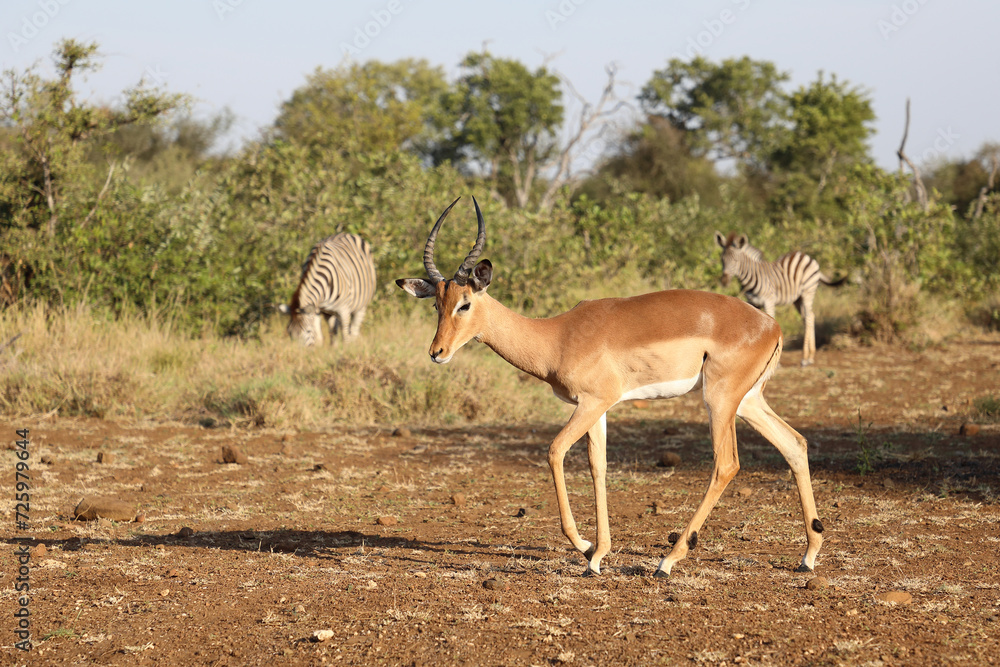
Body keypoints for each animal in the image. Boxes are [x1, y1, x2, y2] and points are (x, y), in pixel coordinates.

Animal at [396, 197, 824, 577]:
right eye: (436, 304)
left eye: (465, 303)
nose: (437, 352)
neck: (557, 337)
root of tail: (772, 326)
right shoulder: (596, 408)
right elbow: (597, 466)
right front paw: (597, 556)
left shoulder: (592, 402)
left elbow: (555, 451)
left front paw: (585, 546)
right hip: (748, 401)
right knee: (794, 443)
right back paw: (808, 555)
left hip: (719, 399)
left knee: (727, 463)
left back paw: (667, 562)